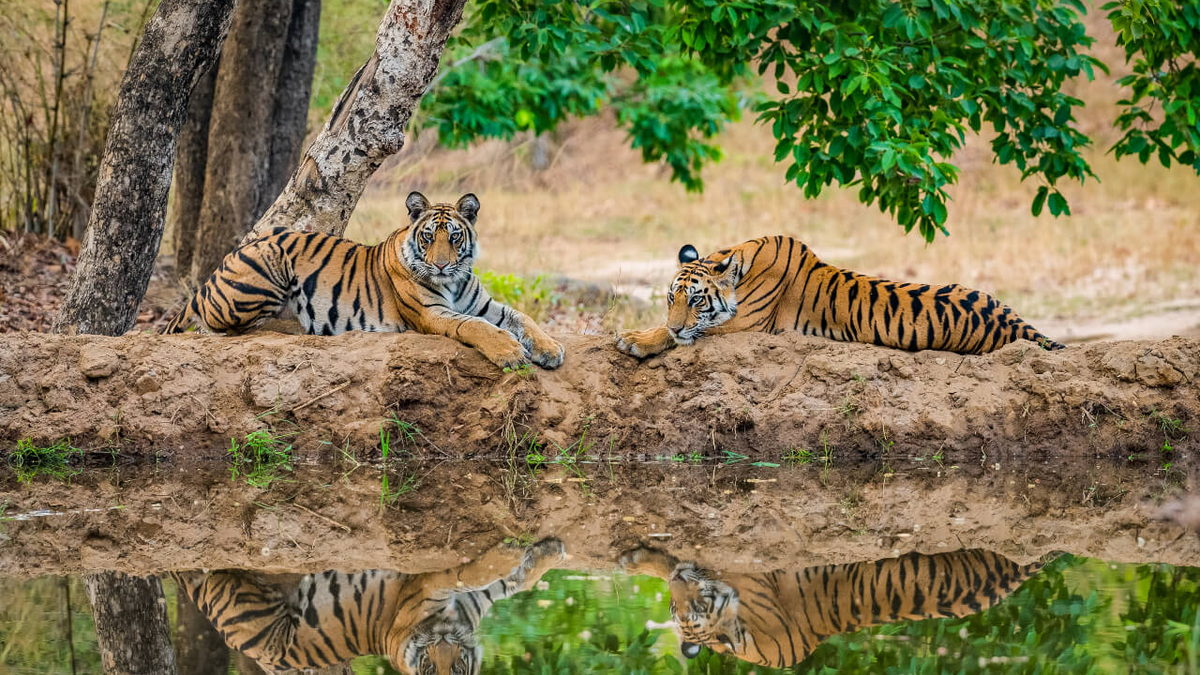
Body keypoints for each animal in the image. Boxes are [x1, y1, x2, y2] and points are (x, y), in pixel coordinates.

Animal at [162, 192, 565, 371]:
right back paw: (297, 326)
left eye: (454, 237)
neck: (453, 281)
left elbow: (522, 317)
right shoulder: (432, 313)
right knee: (227, 329)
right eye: (428, 237)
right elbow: (476, 327)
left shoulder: (483, 304)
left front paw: (549, 349)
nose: (440, 266)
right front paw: (510, 352)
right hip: (268, 262)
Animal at [171, 537, 566, 674]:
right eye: (428, 667)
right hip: (243, 599)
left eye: (456, 670)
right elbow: (467, 571)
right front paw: (511, 553)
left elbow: (515, 581)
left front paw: (548, 551)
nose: (441, 647)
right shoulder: (424, 583)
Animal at [616, 235, 1064, 358]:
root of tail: (1012, 319)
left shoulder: (745, 325)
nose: (679, 325)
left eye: (696, 301)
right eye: (670, 299)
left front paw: (634, 340)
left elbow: (678, 333)